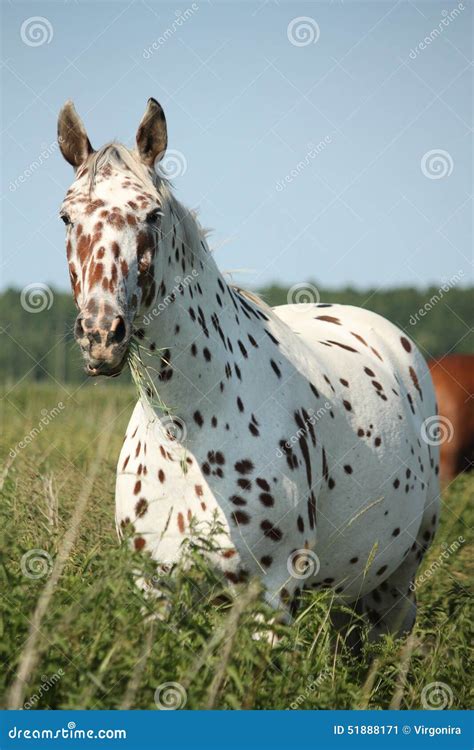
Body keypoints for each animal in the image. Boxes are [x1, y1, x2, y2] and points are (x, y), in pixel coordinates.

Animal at [56, 97, 440, 644]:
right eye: (66, 216)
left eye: (152, 213)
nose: (101, 335)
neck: (189, 432)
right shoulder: (153, 591)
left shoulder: (272, 595)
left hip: (396, 583)